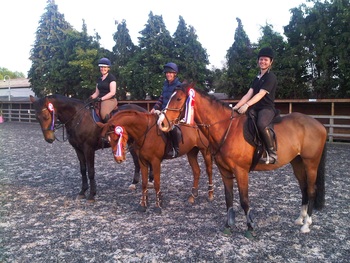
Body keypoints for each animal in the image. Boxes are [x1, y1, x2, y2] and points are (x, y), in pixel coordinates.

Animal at [159, 82, 328, 237]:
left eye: (178, 98)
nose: (161, 123)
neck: (227, 129)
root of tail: (319, 124)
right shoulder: (224, 171)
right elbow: (229, 198)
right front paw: (228, 225)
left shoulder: (241, 171)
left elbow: (244, 200)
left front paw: (250, 227)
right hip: (297, 162)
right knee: (303, 188)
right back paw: (301, 219)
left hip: (311, 163)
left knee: (311, 190)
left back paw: (306, 224)